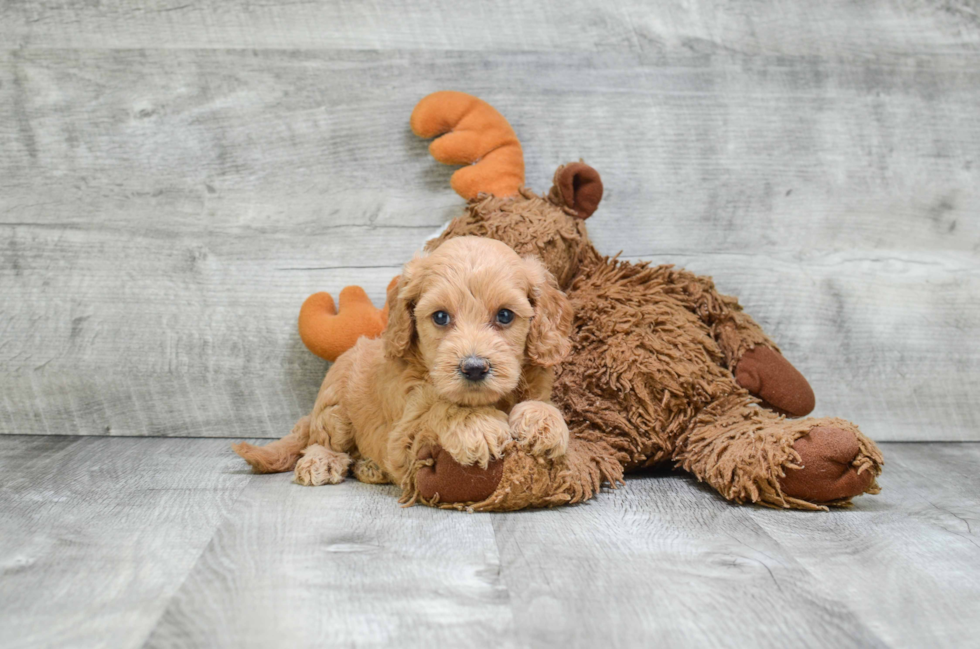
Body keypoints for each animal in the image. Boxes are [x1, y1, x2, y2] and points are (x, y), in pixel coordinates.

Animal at [234, 235, 576, 494]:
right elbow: (439, 408)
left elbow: (540, 402)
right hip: (335, 410)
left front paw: (544, 421)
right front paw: (477, 424)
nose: (474, 367)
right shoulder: (402, 437)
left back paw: (369, 467)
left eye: (505, 315)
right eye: (440, 317)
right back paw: (322, 461)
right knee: (321, 440)